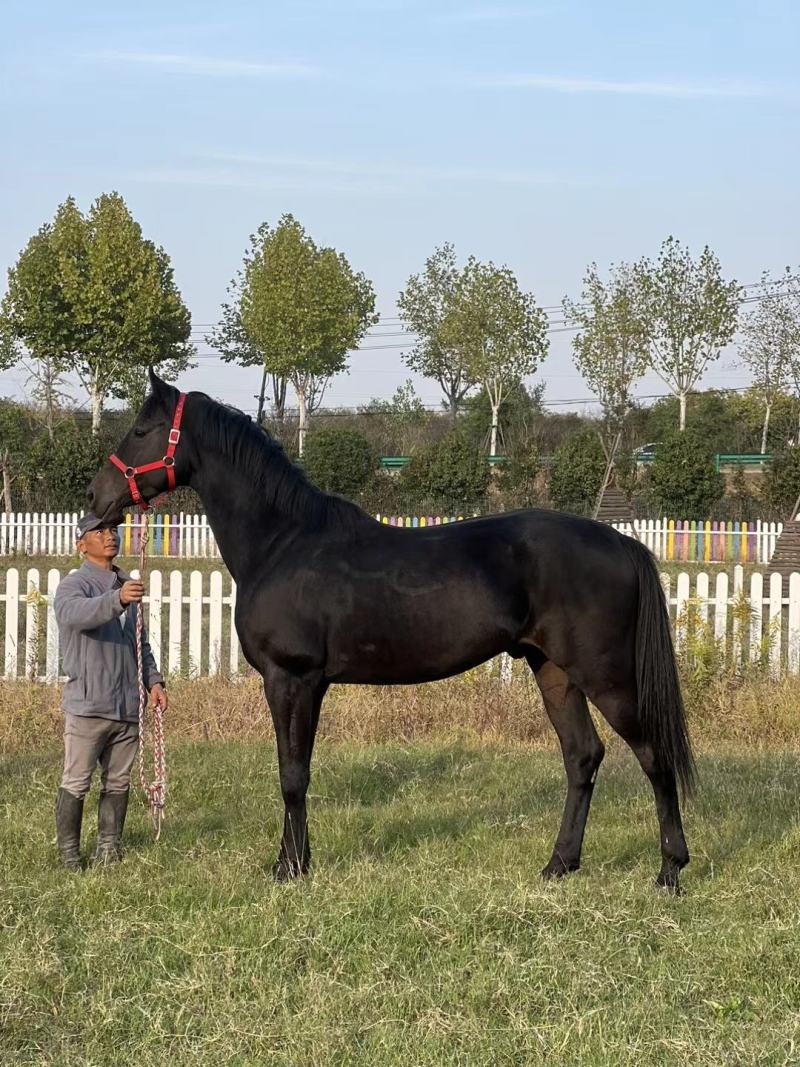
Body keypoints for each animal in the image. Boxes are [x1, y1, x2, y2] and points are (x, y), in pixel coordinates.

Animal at [88, 370, 694, 890]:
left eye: (140, 430)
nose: (96, 500)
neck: (284, 542)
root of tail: (622, 543)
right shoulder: (305, 685)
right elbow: (297, 771)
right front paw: (297, 860)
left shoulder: (292, 680)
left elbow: (292, 775)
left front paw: (289, 868)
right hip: (555, 672)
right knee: (583, 757)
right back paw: (559, 864)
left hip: (607, 676)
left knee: (653, 756)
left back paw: (670, 870)